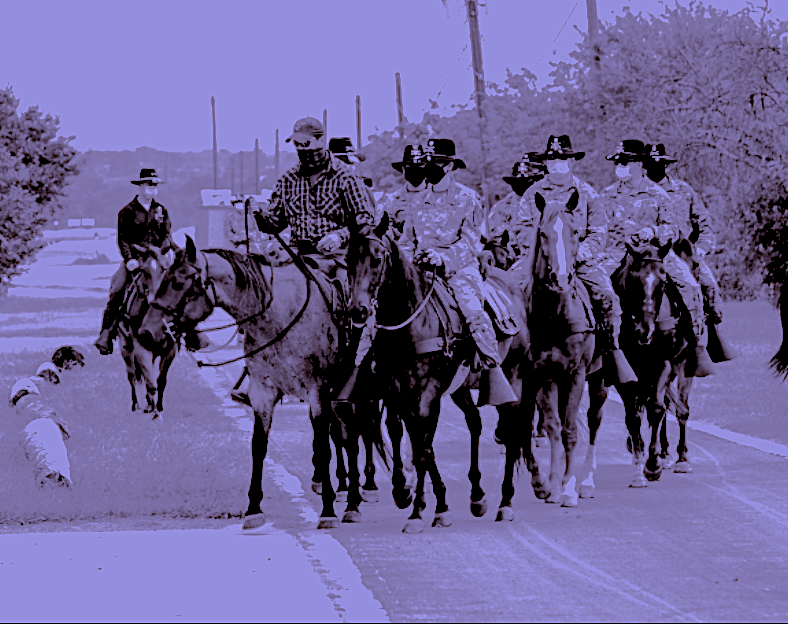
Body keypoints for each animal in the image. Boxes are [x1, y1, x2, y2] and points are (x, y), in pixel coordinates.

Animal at [116, 244, 177, 418]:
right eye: (144, 270)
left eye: (165, 268)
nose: (155, 299)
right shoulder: (140, 348)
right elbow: (149, 382)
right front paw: (155, 413)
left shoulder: (170, 349)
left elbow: (160, 380)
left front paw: (159, 407)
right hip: (126, 348)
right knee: (132, 375)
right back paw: (136, 405)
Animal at [139, 237, 384, 530]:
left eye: (178, 282)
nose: (146, 332)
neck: (281, 316)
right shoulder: (263, 393)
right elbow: (259, 447)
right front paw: (254, 509)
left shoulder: (317, 392)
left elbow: (325, 447)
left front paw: (327, 511)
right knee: (344, 435)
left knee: (359, 434)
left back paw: (359, 494)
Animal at [346, 213, 536, 532]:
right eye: (348, 258)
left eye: (377, 258)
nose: (358, 311)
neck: (411, 324)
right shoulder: (397, 393)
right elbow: (410, 437)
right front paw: (419, 498)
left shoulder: (427, 394)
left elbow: (423, 446)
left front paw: (418, 511)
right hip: (461, 388)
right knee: (474, 422)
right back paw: (477, 495)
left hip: (514, 377)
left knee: (511, 430)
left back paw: (505, 502)